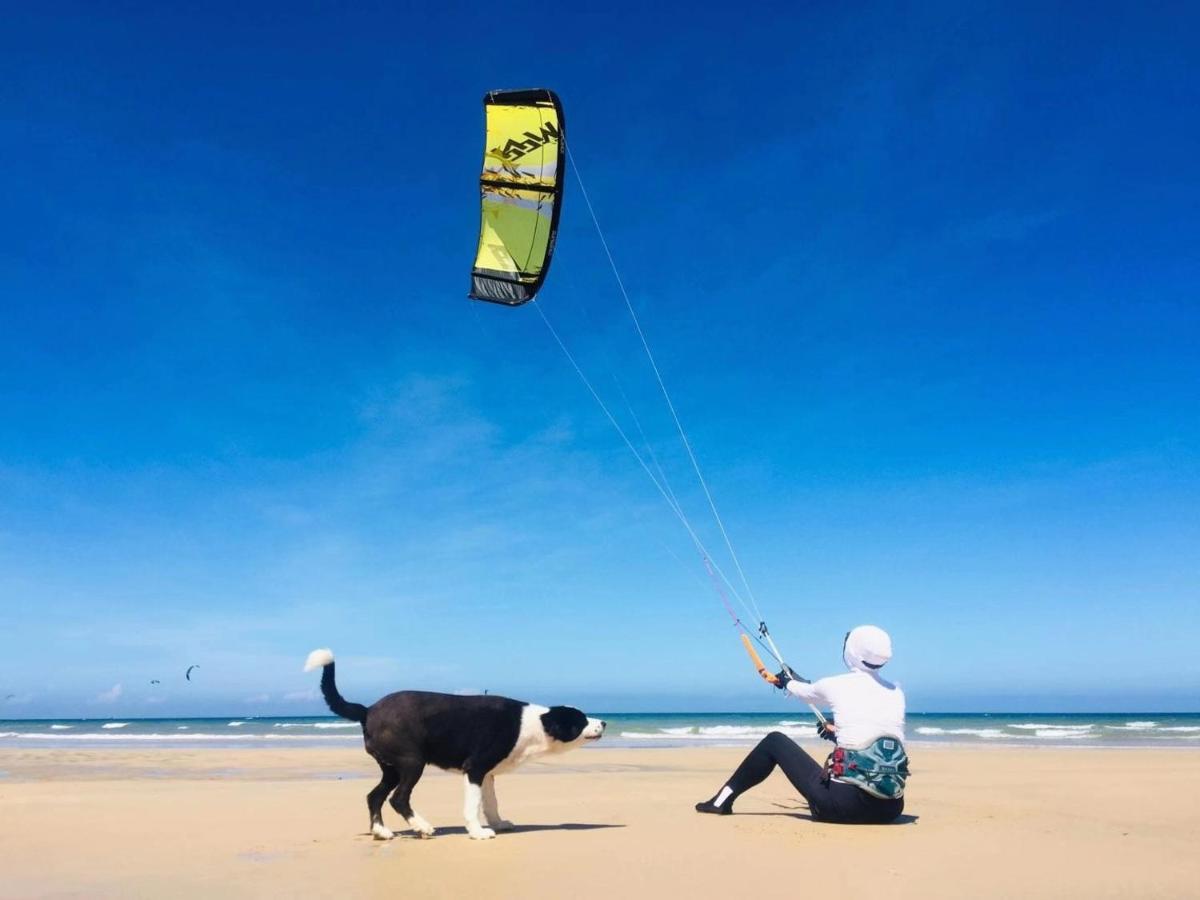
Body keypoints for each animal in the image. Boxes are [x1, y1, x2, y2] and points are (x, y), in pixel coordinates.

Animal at [300, 652, 600, 844]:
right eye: (581, 720)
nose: (604, 722)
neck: (534, 723)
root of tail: (368, 710)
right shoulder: (475, 768)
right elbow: (473, 805)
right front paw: (478, 833)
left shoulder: (487, 774)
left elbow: (491, 802)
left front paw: (498, 824)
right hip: (412, 762)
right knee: (398, 798)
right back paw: (422, 827)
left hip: (392, 768)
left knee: (374, 796)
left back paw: (382, 832)